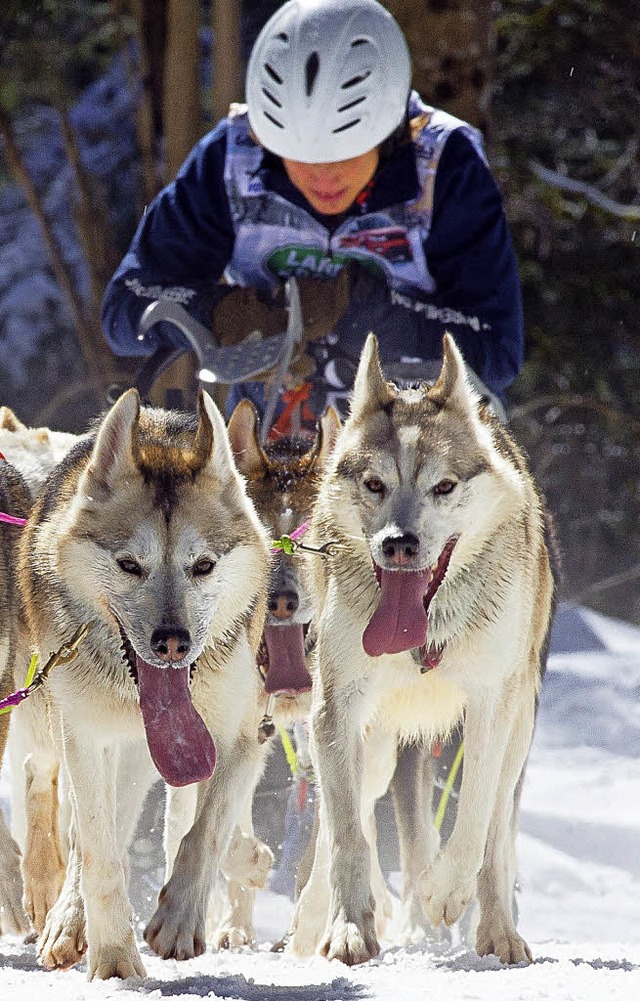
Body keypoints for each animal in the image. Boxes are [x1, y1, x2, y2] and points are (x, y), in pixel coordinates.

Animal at [16, 390, 272, 976]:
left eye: (203, 565)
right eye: (130, 565)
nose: (172, 642)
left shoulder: (244, 735)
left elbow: (205, 831)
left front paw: (178, 918)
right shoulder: (85, 736)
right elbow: (97, 850)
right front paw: (113, 958)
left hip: (140, 754)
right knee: (73, 819)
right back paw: (65, 916)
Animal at [288, 332, 556, 964]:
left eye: (444, 487)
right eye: (375, 485)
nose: (399, 544)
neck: (426, 636)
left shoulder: (489, 706)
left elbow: (474, 819)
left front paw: (443, 892)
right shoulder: (336, 710)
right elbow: (347, 837)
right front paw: (347, 929)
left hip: (517, 732)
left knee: (497, 834)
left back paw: (497, 931)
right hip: (372, 747)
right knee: (343, 824)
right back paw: (310, 924)